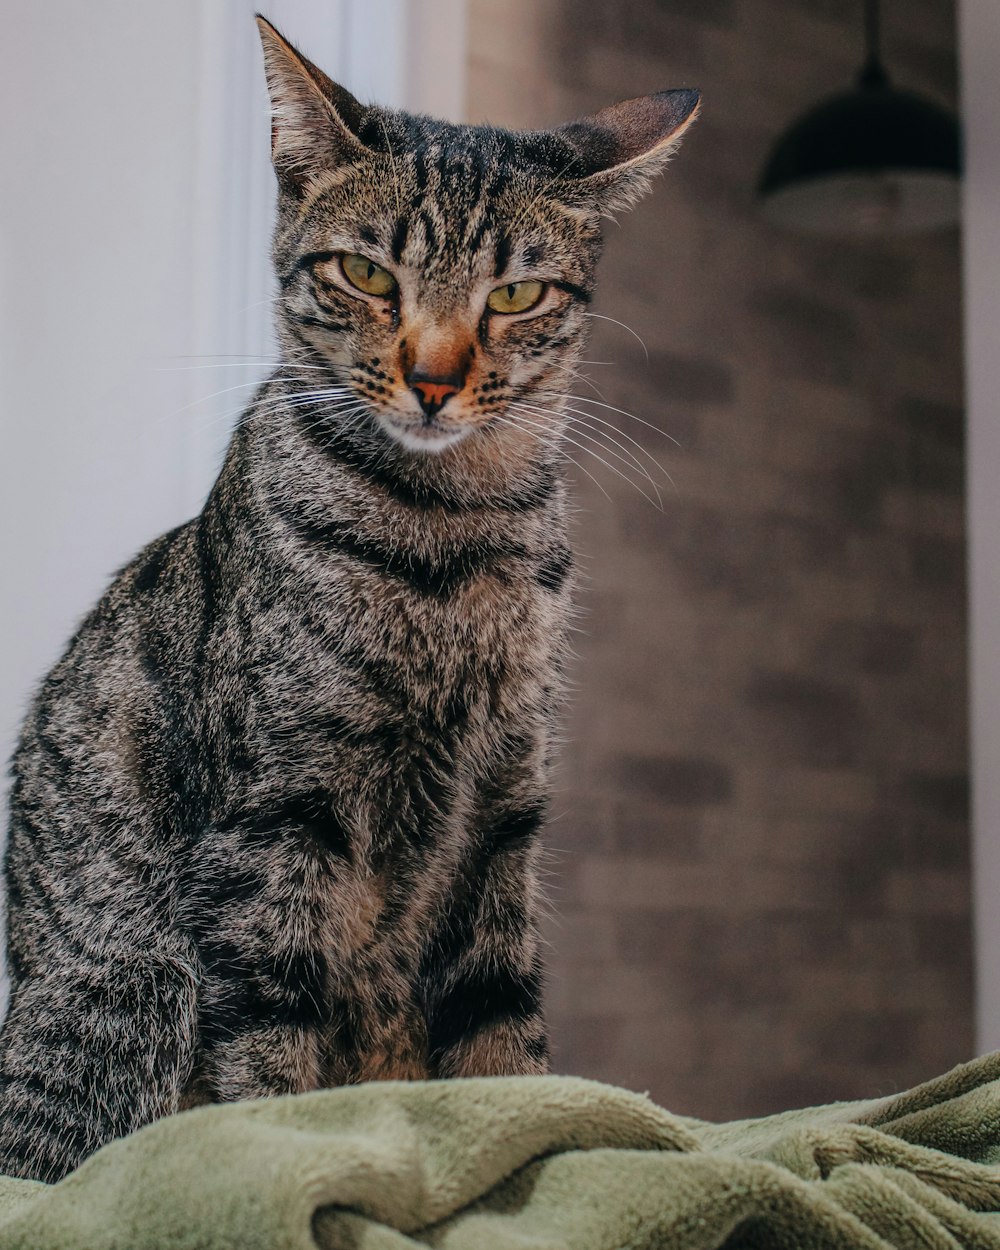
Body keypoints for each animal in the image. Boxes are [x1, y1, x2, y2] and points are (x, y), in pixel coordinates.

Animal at [0, 19, 700, 1180]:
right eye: (366, 273)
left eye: (515, 295)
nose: (434, 377)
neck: (450, 540)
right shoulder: (276, 819)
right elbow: (268, 1055)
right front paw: (297, 1154)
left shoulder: (504, 813)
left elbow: (504, 1041)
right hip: (130, 988)